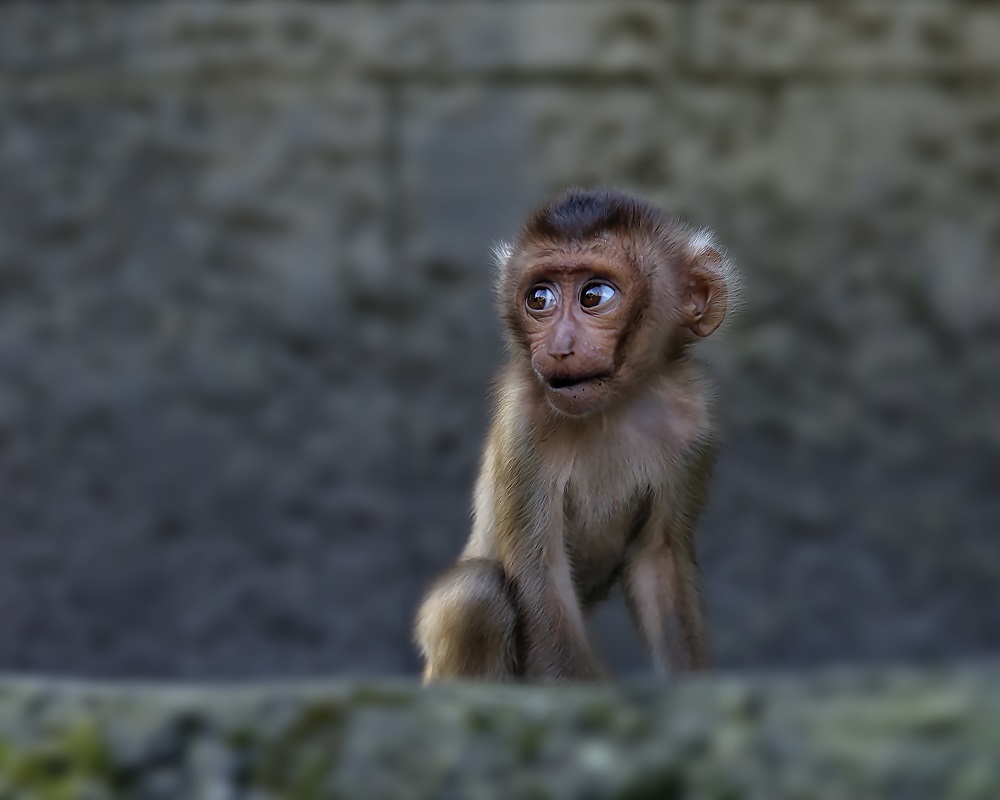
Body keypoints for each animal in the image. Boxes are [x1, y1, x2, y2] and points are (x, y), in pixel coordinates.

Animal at [412, 188, 736, 680]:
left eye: (595, 296)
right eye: (539, 299)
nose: (560, 347)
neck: (613, 410)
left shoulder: (694, 423)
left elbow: (659, 562)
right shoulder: (522, 418)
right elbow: (539, 578)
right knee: (475, 595)